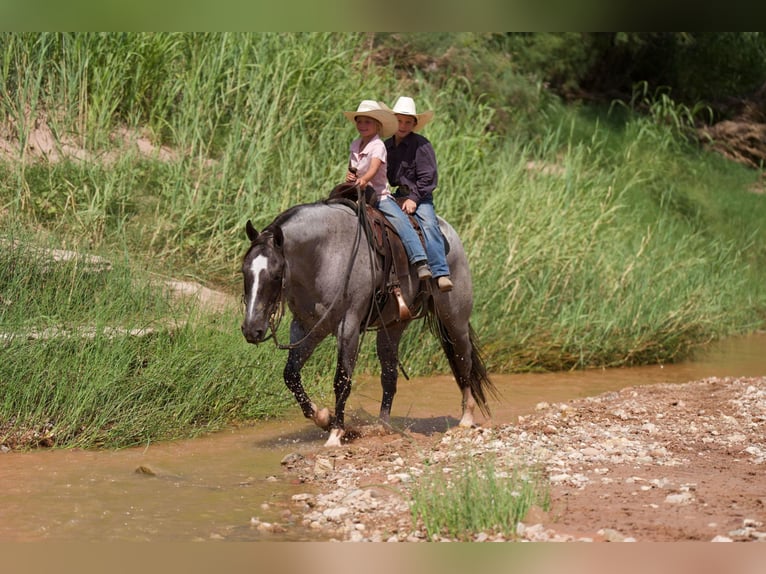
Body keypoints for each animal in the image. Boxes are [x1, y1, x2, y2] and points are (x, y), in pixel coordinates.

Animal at [243, 194, 500, 450]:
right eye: (244, 271)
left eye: (276, 275)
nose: (251, 330)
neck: (326, 254)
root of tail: (450, 233)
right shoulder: (307, 327)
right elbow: (291, 375)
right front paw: (323, 418)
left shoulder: (348, 327)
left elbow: (342, 380)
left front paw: (335, 433)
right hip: (393, 327)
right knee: (389, 375)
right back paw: (383, 427)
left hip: (454, 319)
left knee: (463, 361)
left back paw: (466, 419)